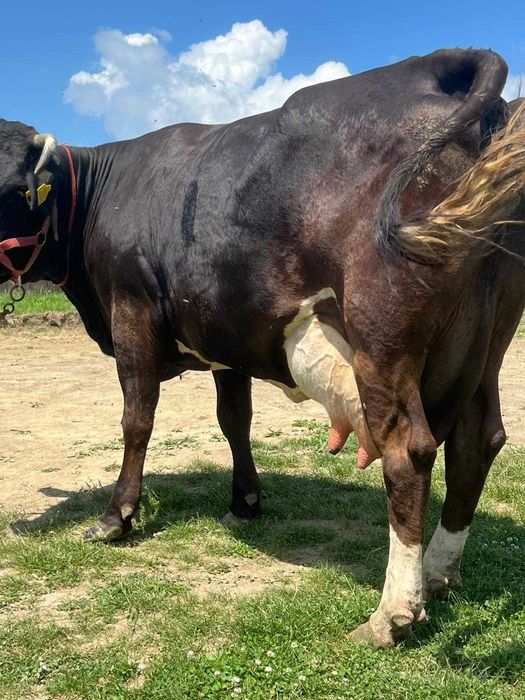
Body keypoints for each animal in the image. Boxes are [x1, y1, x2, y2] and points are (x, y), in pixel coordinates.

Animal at [1, 48, 524, 648]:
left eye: (11, 190)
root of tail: (441, 67)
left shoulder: (131, 314)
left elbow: (137, 420)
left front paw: (116, 517)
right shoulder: (224, 336)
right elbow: (235, 420)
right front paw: (245, 502)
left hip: (382, 335)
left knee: (409, 450)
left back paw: (390, 614)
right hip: (487, 340)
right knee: (477, 441)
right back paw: (438, 572)